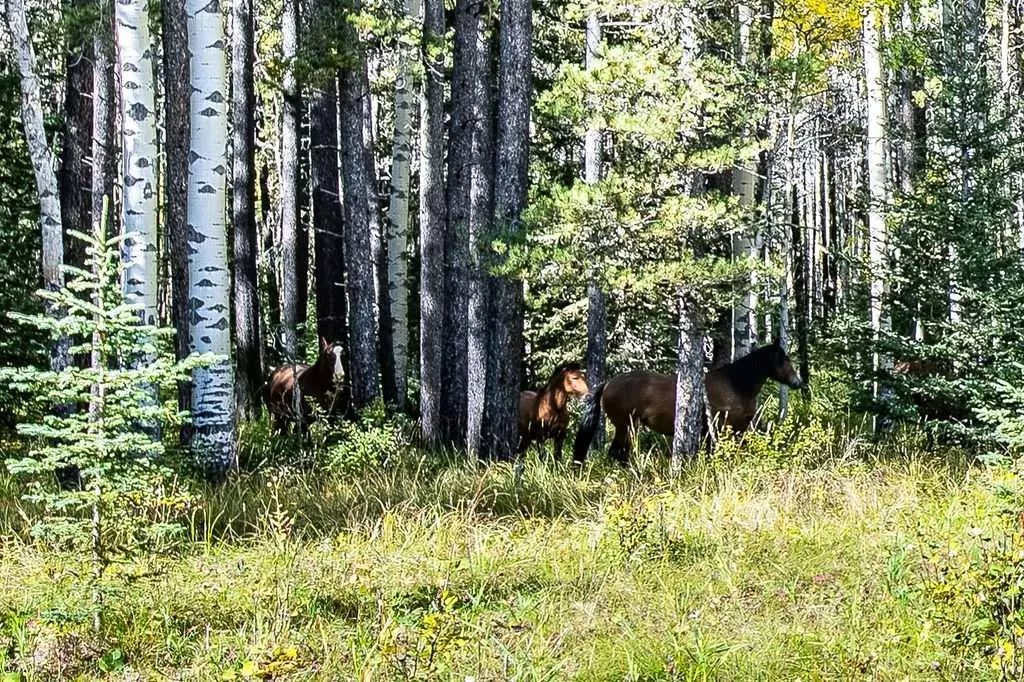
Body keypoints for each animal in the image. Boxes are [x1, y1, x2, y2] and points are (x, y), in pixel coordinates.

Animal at [573, 337, 802, 462]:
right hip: (625, 427)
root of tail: (608, 383)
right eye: (784, 359)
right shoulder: (723, 427)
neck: (735, 384)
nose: (797, 382)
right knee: (617, 454)